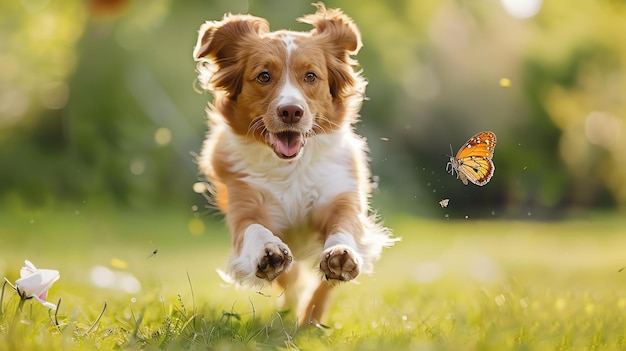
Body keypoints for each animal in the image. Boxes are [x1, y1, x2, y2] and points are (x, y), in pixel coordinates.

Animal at [191, 2, 394, 328]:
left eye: (311, 76)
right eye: (263, 76)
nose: (291, 111)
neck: (291, 169)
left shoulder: (340, 197)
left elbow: (344, 226)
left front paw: (342, 252)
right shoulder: (245, 207)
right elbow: (255, 230)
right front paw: (268, 251)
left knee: (322, 286)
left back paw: (311, 319)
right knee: (292, 281)